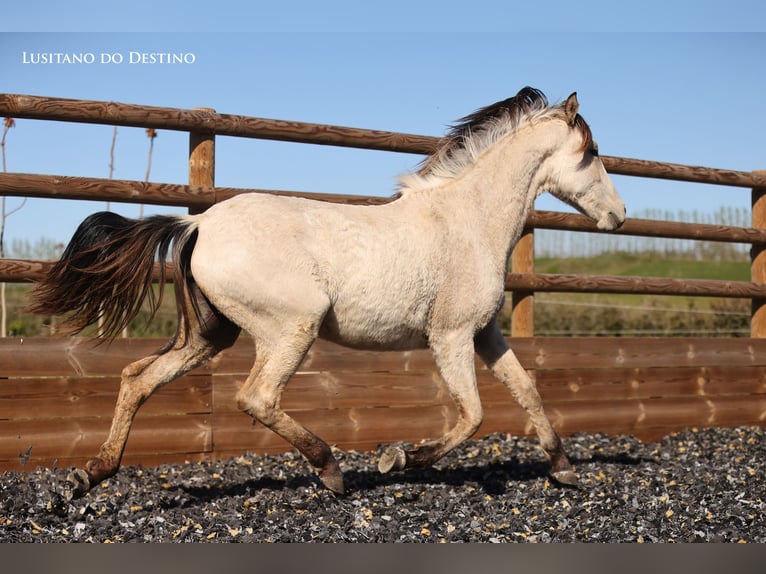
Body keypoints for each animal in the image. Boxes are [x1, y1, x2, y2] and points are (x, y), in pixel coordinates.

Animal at [30, 87, 625, 499]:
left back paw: (87, 477)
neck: (466, 221)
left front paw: (565, 469)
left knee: (138, 378)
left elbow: (528, 390)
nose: (619, 216)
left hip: (209, 335)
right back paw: (332, 470)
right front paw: (399, 458)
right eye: (593, 150)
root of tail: (197, 223)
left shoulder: (485, 334)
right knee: (256, 397)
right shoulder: (450, 336)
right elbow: (473, 416)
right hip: (292, 326)